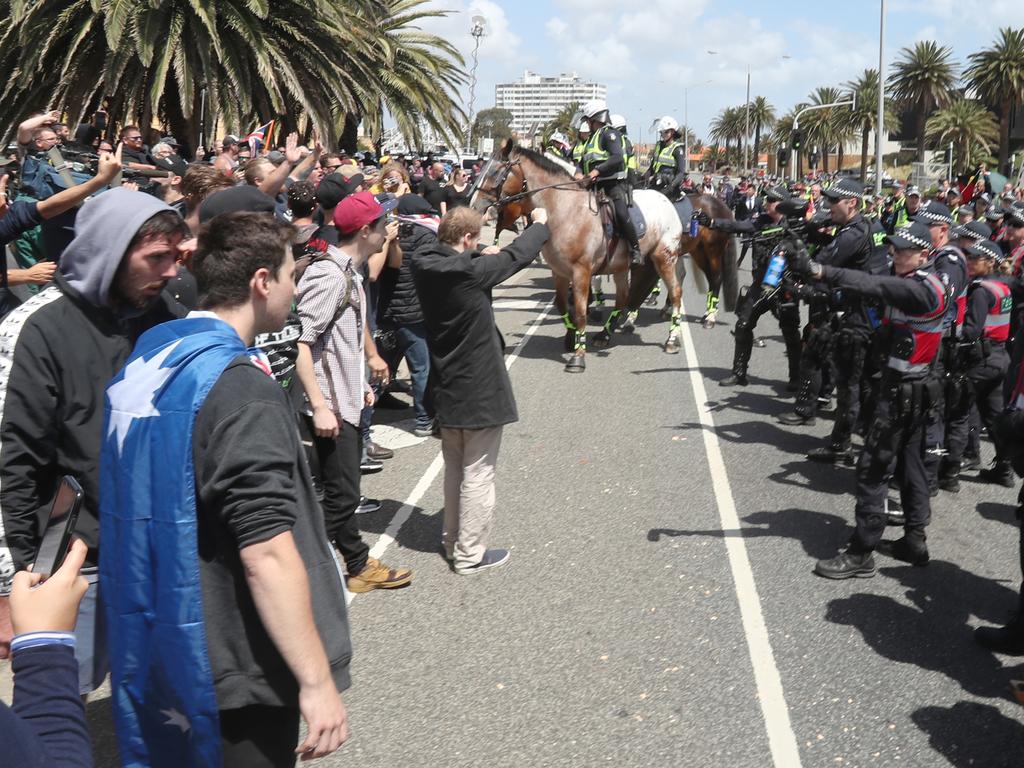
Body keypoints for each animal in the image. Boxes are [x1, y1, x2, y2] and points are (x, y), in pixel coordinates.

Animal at [473, 144, 684, 376]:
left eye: (496, 172)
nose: (473, 206)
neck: (565, 211)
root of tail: (665, 200)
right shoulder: (560, 272)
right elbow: (563, 306)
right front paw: (571, 337)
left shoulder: (581, 271)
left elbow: (582, 311)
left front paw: (578, 356)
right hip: (621, 266)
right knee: (622, 298)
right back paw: (605, 335)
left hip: (664, 257)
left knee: (675, 292)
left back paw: (672, 339)